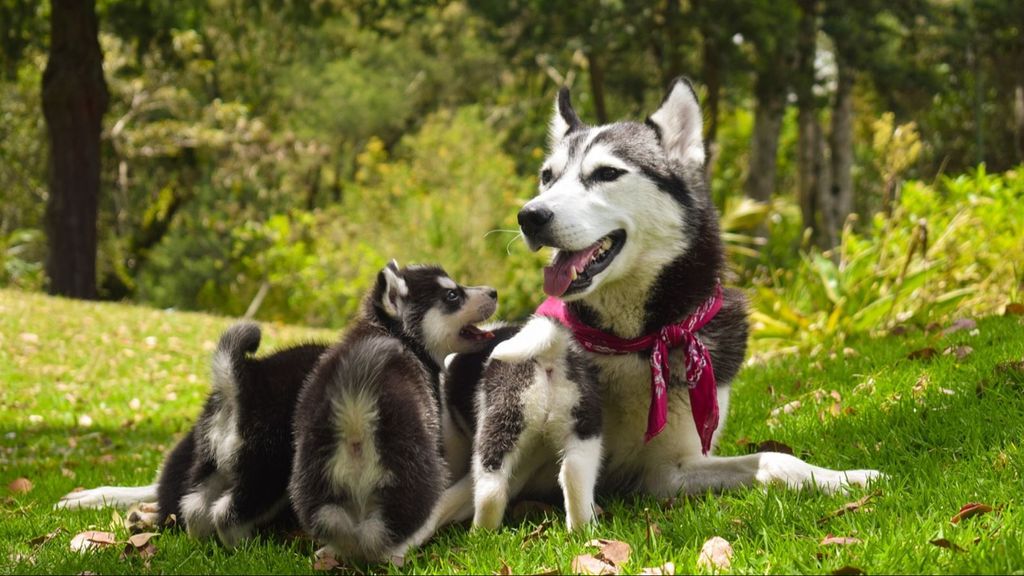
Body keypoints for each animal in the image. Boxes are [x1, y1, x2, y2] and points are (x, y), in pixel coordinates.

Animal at [290, 260, 497, 561]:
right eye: (452, 295)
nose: (494, 292)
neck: (394, 332)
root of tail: (356, 413)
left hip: (315, 484)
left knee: (335, 523)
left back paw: (331, 552)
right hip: (417, 474)